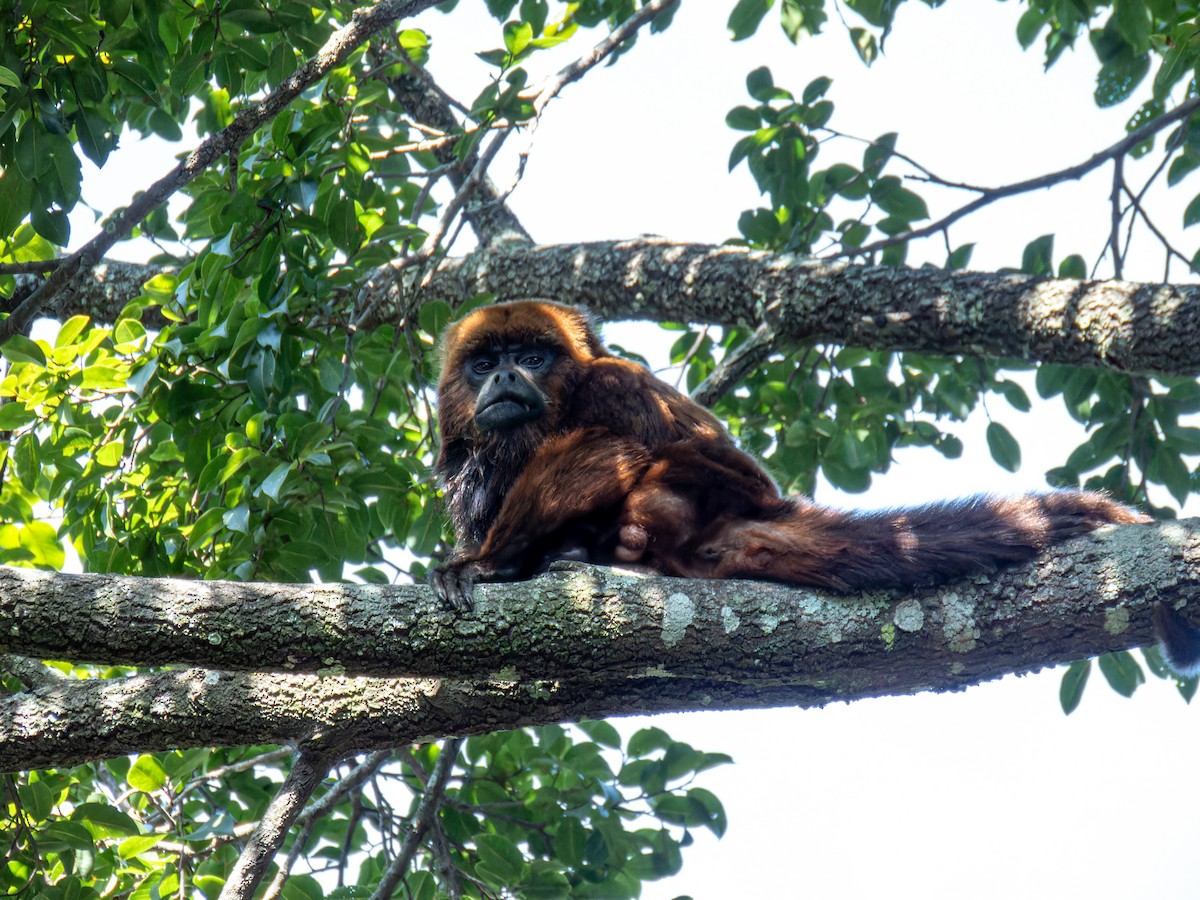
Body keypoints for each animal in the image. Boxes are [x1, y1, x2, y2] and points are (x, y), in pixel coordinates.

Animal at [429, 300, 1178, 660]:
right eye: (484, 362)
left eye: (533, 356)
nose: (505, 375)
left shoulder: (611, 381)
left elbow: (614, 443)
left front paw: (486, 562)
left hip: (705, 490)